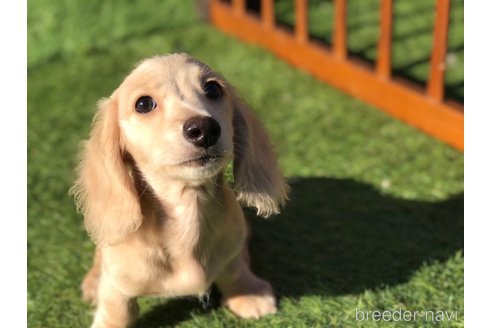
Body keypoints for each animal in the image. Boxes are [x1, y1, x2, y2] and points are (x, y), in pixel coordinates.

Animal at [69, 54, 288, 328]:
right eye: (143, 104)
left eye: (213, 89)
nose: (204, 130)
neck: (188, 212)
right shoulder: (117, 284)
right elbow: (117, 309)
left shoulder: (232, 250)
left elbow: (234, 269)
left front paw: (248, 293)